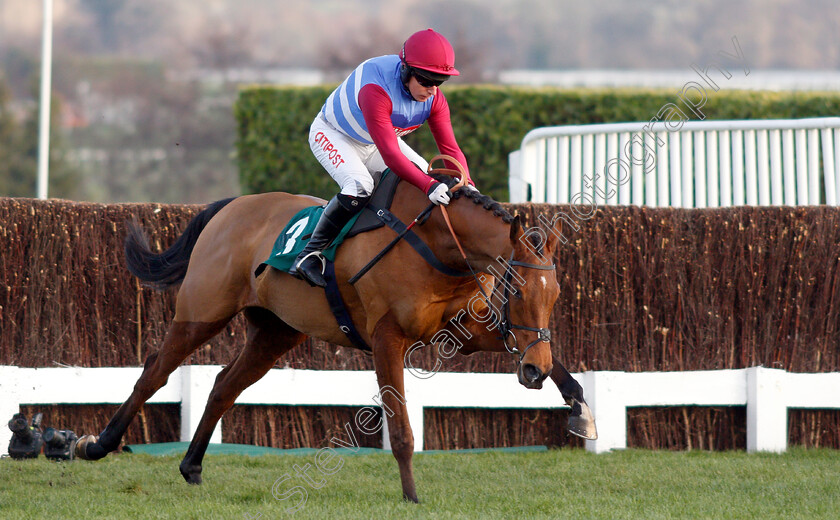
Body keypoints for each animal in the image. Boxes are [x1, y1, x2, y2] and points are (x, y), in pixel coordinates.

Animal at [77, 165, 592, 502]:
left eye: (556, 293)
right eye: (518, 289)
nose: (532, 371)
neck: (439, 246)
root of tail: (229, 207)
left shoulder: (463, 331)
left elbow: (551, 361)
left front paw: (579, 408)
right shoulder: (388, 339)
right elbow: (400, 428)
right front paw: (411, 497)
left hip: (275, 333)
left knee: (224, 385)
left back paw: (192, 465)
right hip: (201, 313)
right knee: (155, 373)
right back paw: (98, 445)